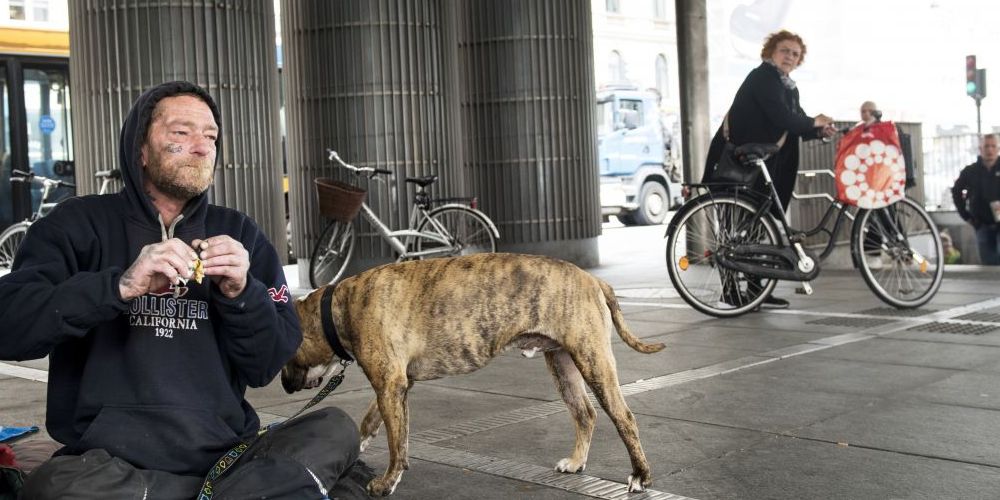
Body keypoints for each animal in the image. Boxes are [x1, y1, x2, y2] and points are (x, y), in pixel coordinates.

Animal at [284, 254, 664, 496]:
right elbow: (375, 424)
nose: (284, 385)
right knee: (585, 414)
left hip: (593, 360)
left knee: (624, 418)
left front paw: (387, 481)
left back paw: (641, 477)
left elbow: (395, 441)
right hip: (562, 364)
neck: (338, 307)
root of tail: (594, 279)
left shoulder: (389, 385)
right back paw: (576, 463)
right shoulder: (395, 385)